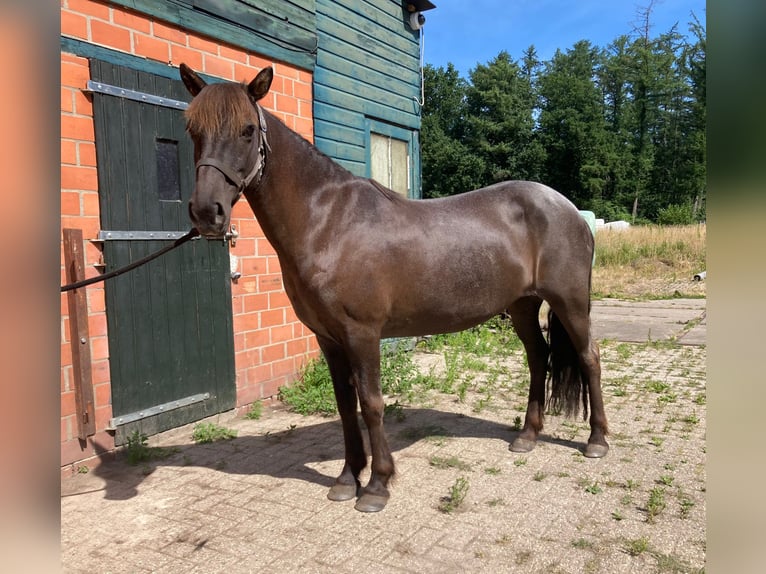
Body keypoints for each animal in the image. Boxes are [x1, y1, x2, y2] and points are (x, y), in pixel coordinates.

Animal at [179, 64, 609, 513]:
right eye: (192, 129)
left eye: (247, 130)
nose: (207, 212)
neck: (327, 223)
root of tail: (569, 209)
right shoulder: (328, 338)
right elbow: (346, 406)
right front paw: (347, 478)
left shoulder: (362, 334)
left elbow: (371, 404)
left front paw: (377, 485)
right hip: (523, 305)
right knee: (538, 357)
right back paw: (527, 436)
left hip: (570, 302)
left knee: (588, 357)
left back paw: (596, 441)